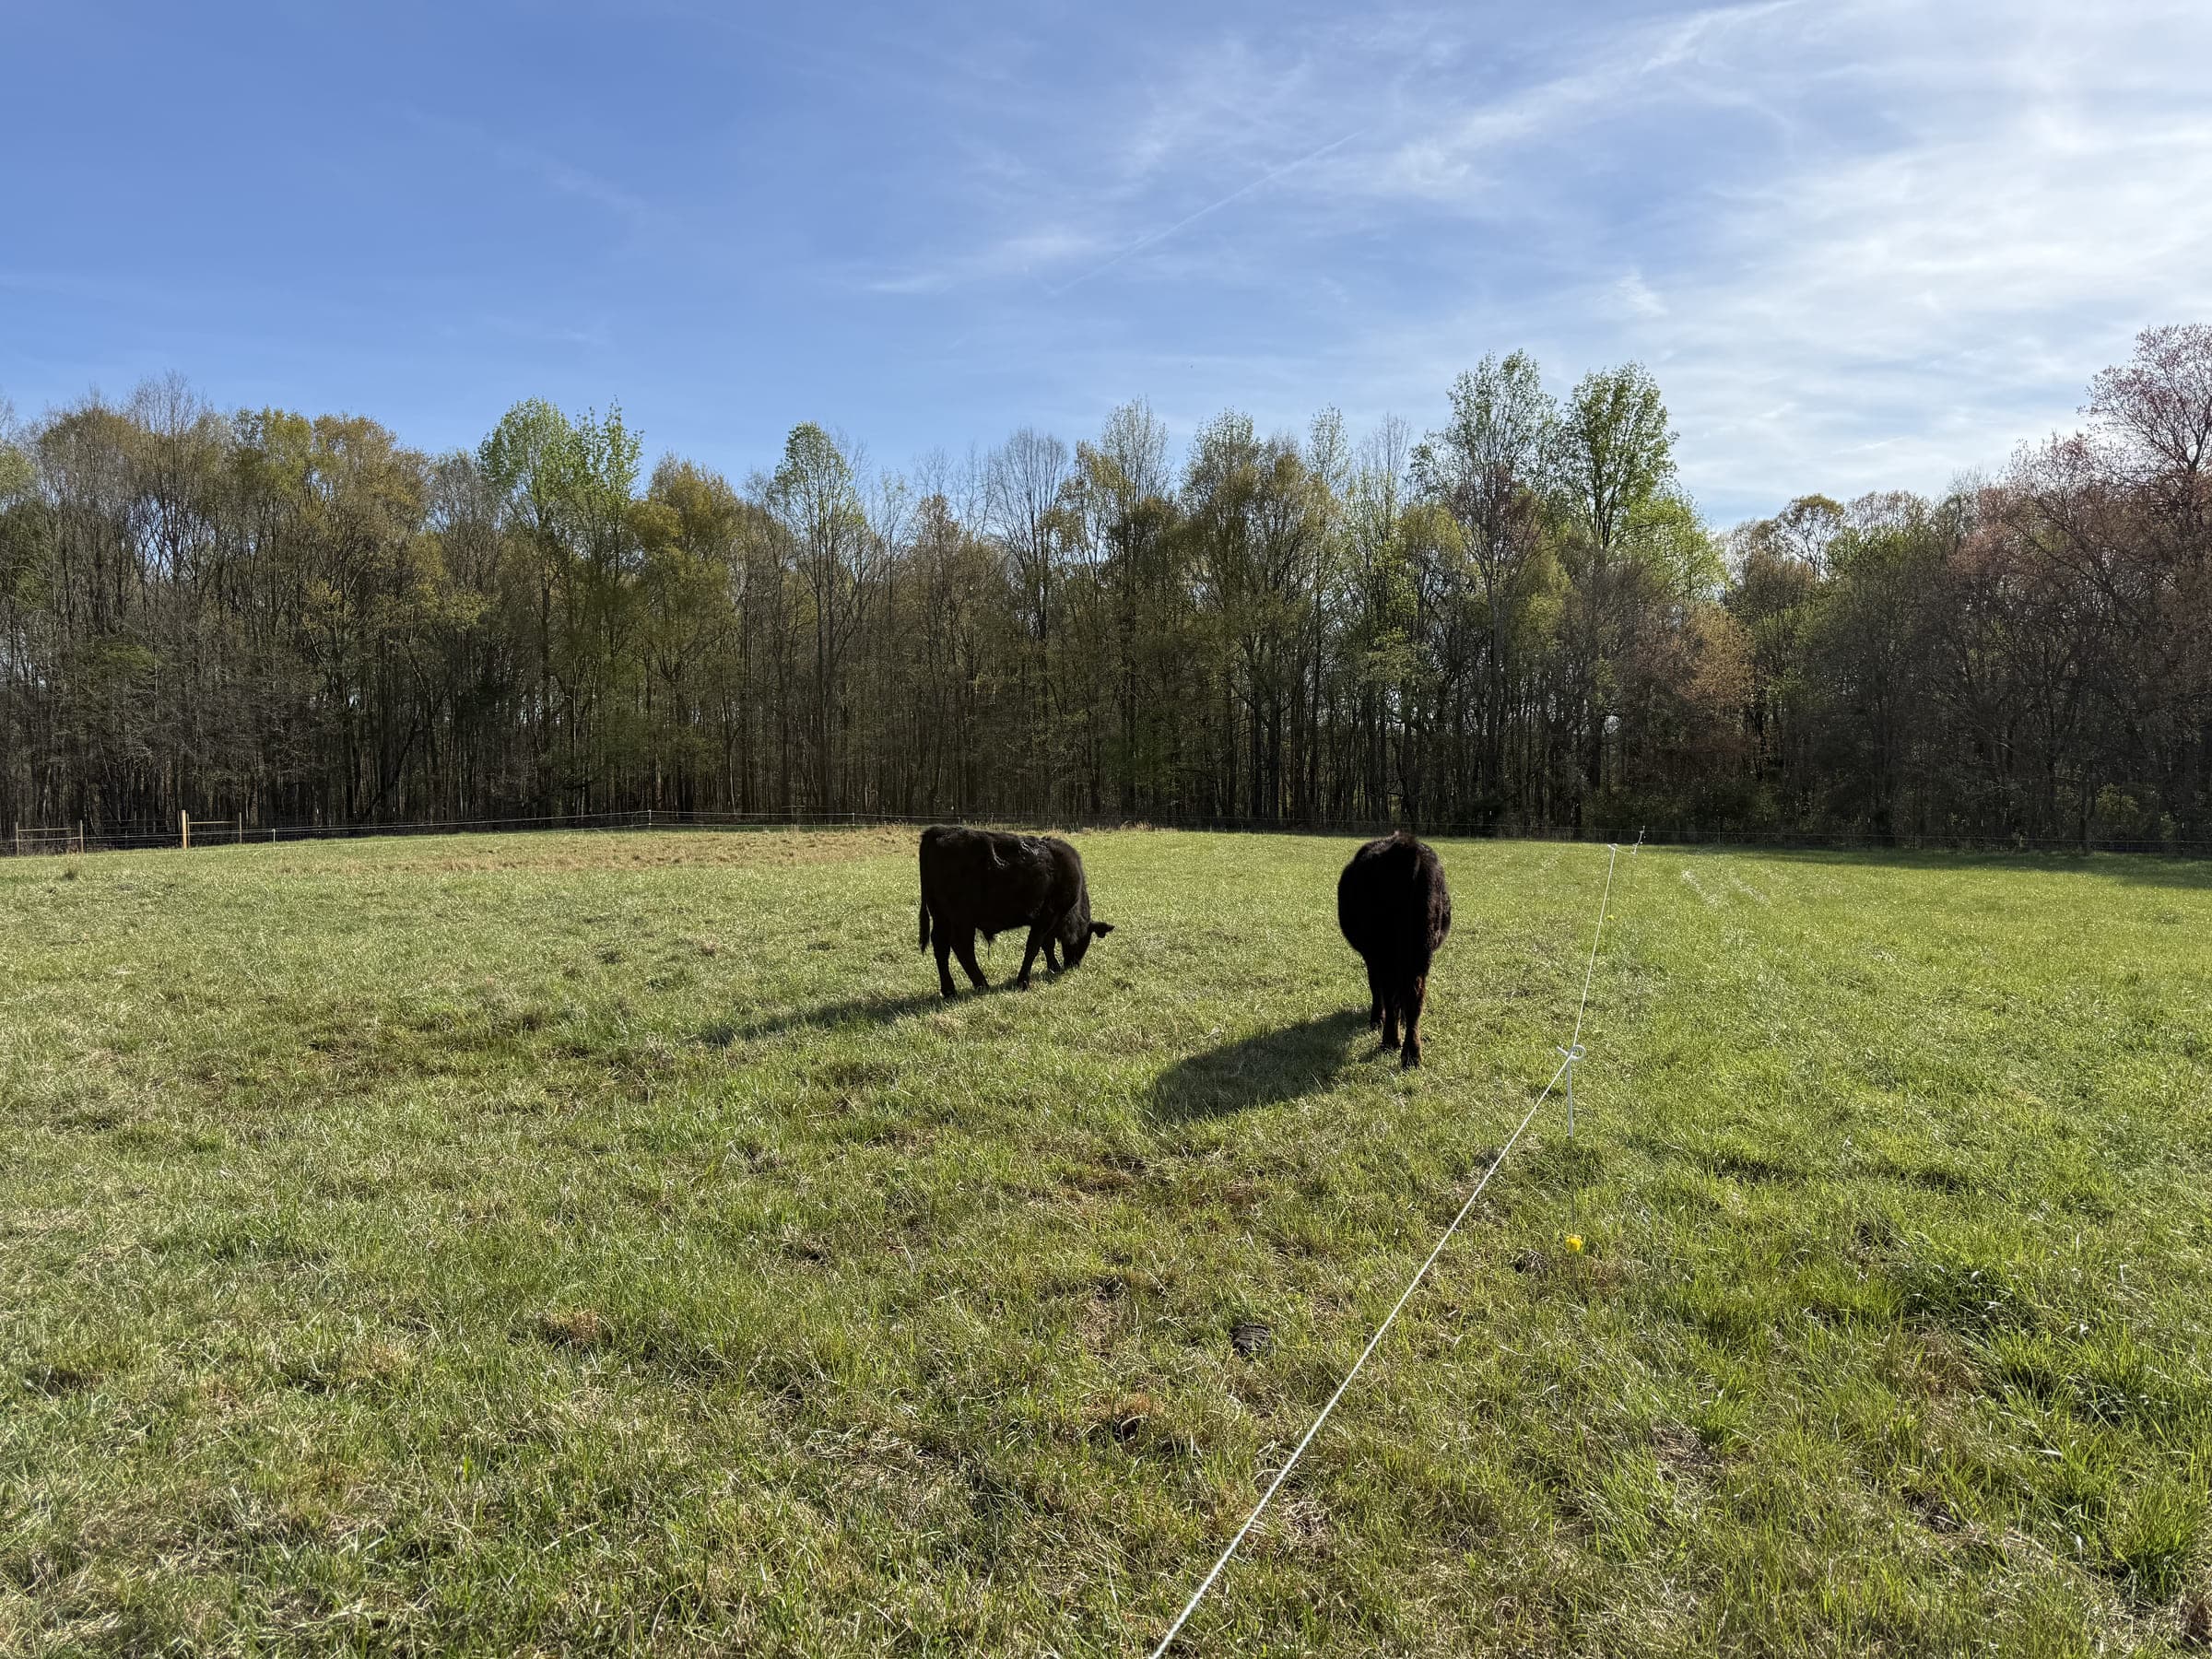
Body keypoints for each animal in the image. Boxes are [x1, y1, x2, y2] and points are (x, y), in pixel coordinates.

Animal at [917, 826, 1114, 999]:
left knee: (941, 946)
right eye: (1085, 940)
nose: (1074, 965)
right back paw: (982, 984)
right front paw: (1023, 981)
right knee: (961, 947)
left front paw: (1053, 967)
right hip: (962, 919)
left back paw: (949, 990)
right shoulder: (1047, 917)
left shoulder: (1046, 920)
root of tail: (939, 830)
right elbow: (1033, 947)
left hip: (941, 916)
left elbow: (1047, 944)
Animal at [1336, 831, 1452, 1068]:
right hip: (1421, 950)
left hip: (1385, 951)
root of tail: (1405, 846)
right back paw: (1411, 1054)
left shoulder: (1371, 956)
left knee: (1390, 991)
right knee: (1415, 995)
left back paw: (1390, 1040)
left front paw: (1377, 1020)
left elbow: (1377, 988)